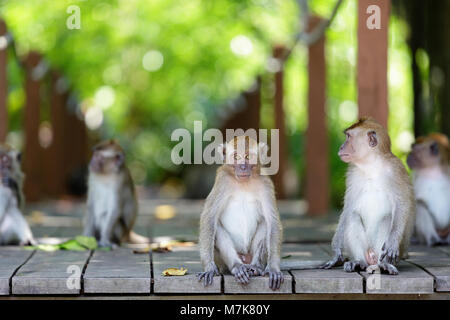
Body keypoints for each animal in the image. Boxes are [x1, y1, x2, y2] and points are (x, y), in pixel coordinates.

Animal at [198, 136, 284, 292]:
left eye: (248, 157)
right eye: (236, 157)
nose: (243, 167)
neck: (244, 183)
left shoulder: (265, 183)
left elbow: (273, 222)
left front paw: (273, 268)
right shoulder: (222, 181)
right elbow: (209, 218)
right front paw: (209, 268)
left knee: (265, 224)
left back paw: (255, 267)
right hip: (223, 261)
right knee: (217, 228)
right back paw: (237, 267)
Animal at [320, 119, 414, 274]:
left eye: (348, 137)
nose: (341, 147)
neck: (371, 165)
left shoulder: (396, 170)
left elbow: (402, 204)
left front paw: (392, 243)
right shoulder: (352, 174)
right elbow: (348, 208)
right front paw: (336, 252)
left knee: (387, 219)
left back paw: (383, 265)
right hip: (366, 250)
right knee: (352, 216)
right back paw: (359, 262)